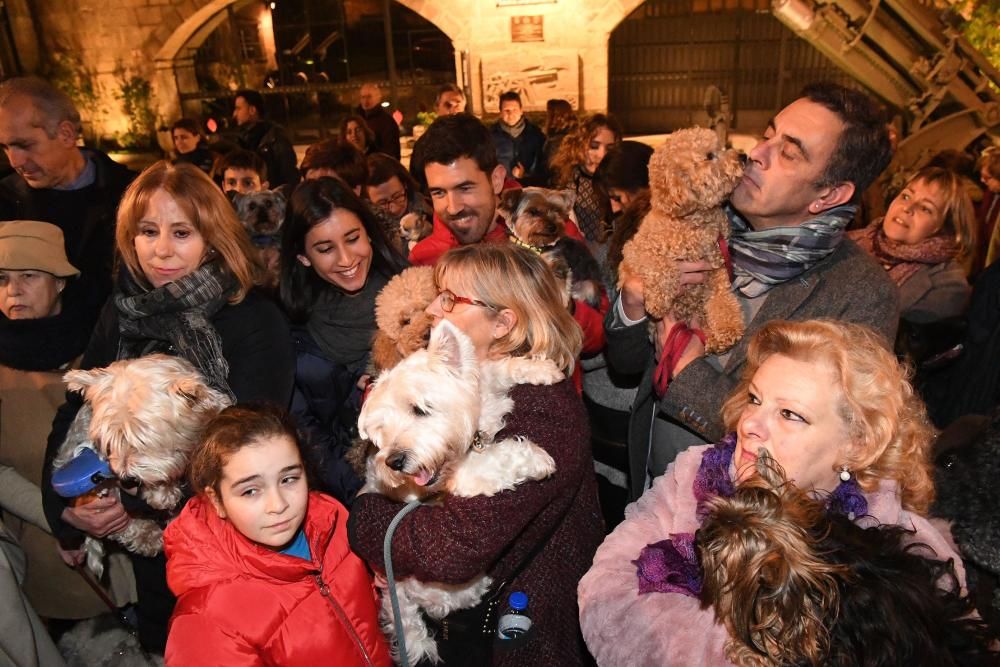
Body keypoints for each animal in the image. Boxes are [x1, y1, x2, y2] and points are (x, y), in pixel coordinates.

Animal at [53, 354, 231, 580]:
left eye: (142, 439)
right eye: (109, 442)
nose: (127, 479)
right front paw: (162, 494)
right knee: (122, 527)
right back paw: (151, 536)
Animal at [358, 322, 564, 664]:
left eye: (420, 409)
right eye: (381, 430)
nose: (394, 461)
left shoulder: (482, 387)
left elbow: (496, 369)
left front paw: (540, 368)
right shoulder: (462, 476)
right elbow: (498, 460)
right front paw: (536, 459)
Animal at [620, 126, 748, 354]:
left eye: (724, 147)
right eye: (710, 156)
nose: (744, 157)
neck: (693, 223)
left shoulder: (716, 269)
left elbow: (722, 299)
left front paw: (727, 330)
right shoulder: (635, 251)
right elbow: (661, 266)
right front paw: (658, 300)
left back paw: (712, 339)